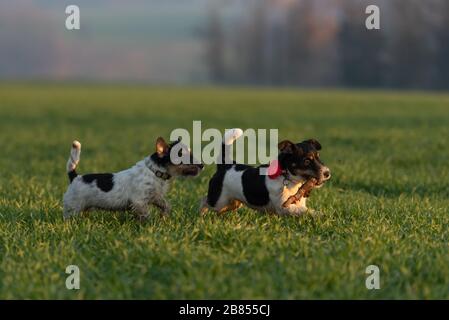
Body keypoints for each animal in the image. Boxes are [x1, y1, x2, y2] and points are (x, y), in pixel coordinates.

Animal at [63, 138, 203, 220]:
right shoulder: (139, 201)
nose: (202, 165)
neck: (155, 172)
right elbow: (146, 215)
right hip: (72, 208)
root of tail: (75, 177)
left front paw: (164, 217)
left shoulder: (155, 196)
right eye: (182, 156)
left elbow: (166, 205)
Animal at [200, 129, 328, 216]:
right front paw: (321, 215)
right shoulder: (283, 207)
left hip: (232, 203)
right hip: (218, 201)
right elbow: (306, 211)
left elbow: (303, 209)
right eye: (306, 161)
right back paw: (201, 216)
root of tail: (225, 166)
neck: (287, 177)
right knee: (203, 201)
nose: (327, 173)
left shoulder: (297, 203)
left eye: (318, 157)